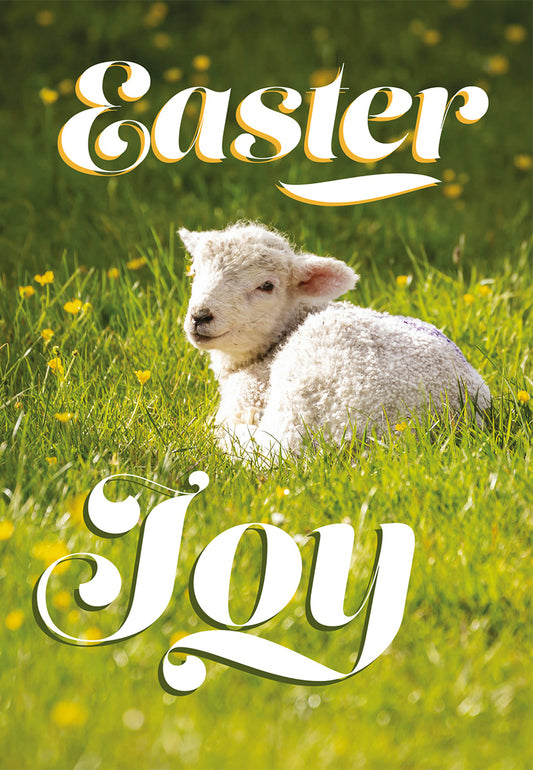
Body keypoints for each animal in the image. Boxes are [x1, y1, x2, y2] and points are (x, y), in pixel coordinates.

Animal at [179, 222, 490, 463]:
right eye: (194, 272)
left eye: (266, 286)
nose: (200, 316)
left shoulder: (247, 397)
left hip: (308, 395)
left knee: (273, 451)